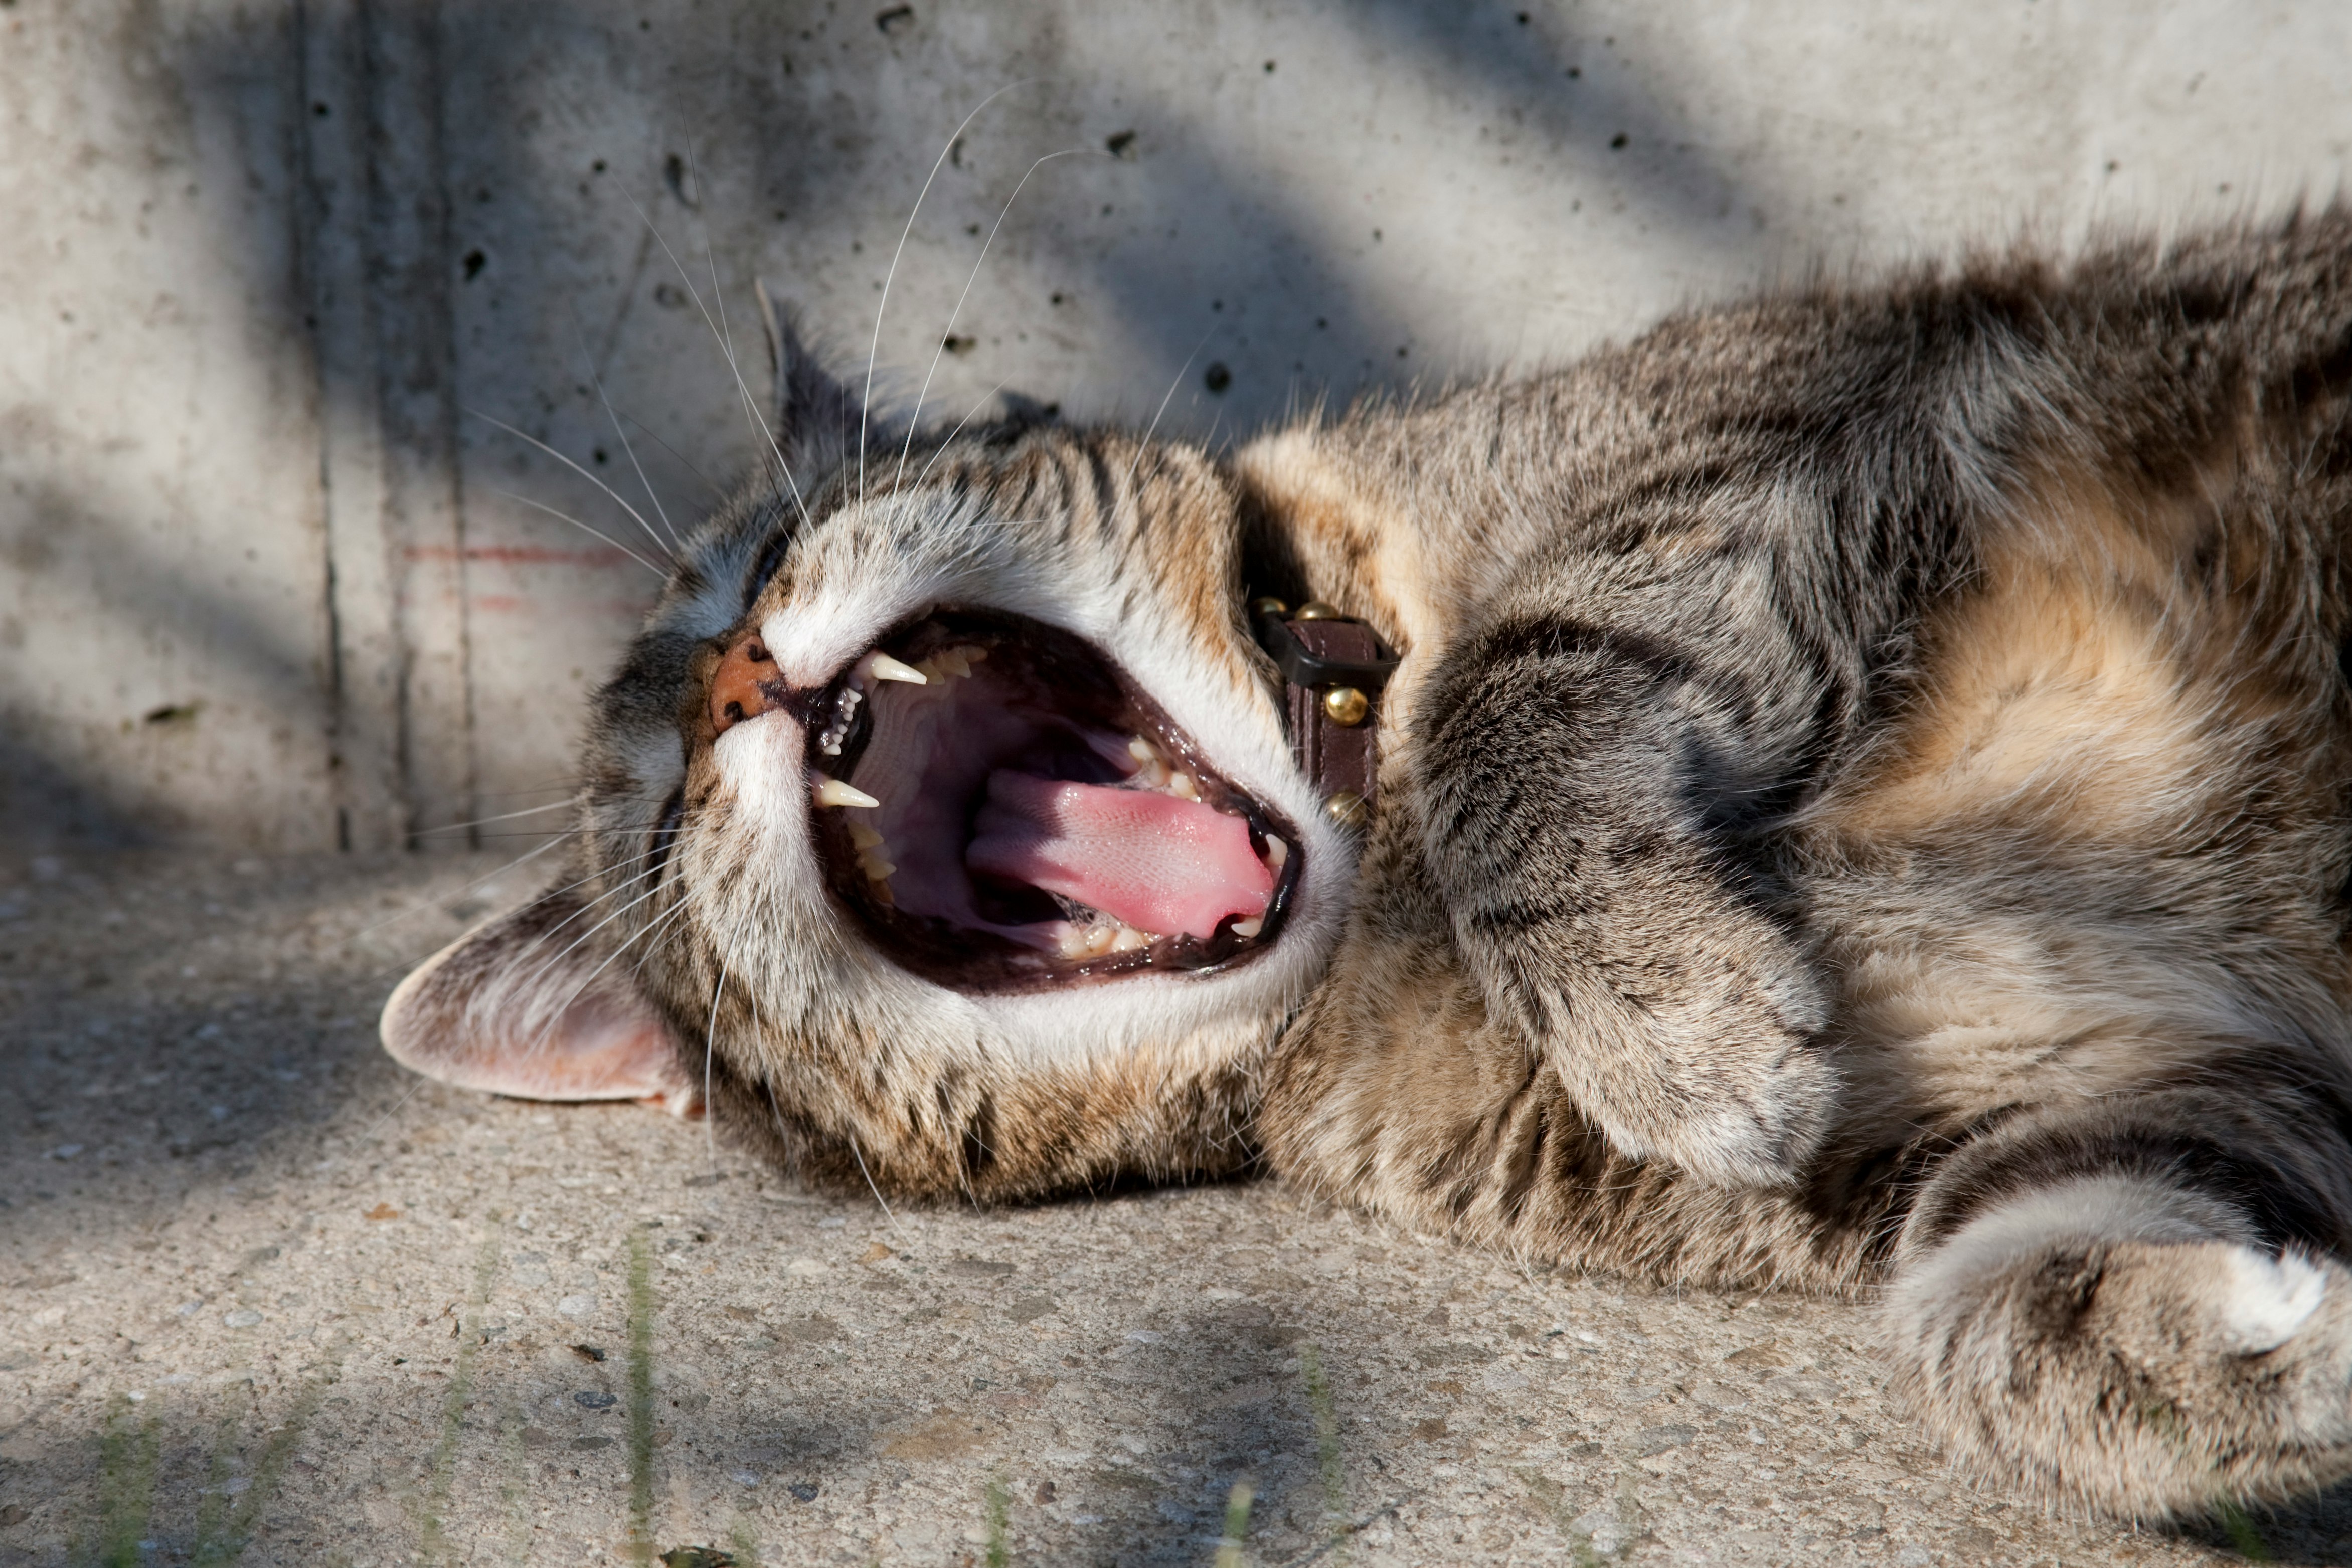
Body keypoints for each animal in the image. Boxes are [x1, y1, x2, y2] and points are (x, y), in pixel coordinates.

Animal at [381, 215, 2352, 1514]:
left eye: (760, 553)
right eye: (651, 817)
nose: (723, 681)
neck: (1373, 848)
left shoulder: (1760, 433)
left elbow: (1511, 686)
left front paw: (1664, 1009)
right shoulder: (2112, 1098)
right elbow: (1993, 1306)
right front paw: (2272, 1362)